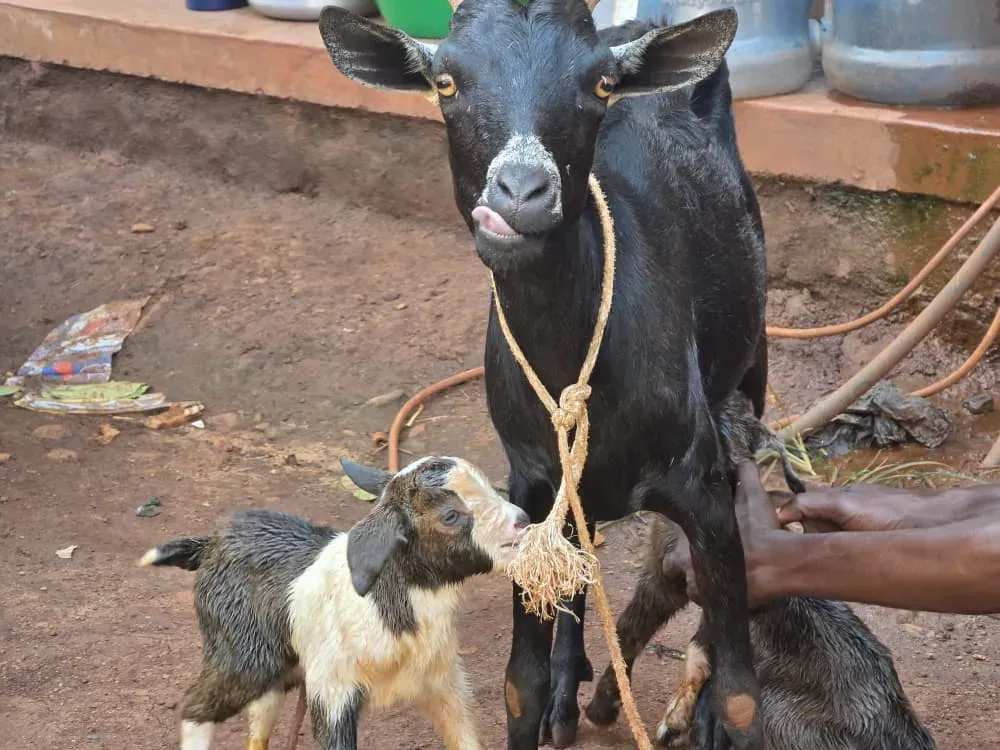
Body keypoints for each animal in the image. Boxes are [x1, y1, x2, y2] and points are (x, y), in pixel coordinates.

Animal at [138, 456, 529, 750]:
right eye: (450, 515)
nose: (522, 520)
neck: (384, 606)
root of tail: (210, 544)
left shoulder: (442, 683)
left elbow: (465, 738)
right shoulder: (332, 689)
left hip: (279, 664)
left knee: (258, 721)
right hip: (242, 656)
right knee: (195, 708)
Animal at [320, 3, 771, 748]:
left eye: (601, 86)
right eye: (445, 82)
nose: (521, 193)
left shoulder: (701, 483)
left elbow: (739, 690)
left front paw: (710, 714)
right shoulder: (530, 484)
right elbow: (518, 683)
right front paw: (549, 688)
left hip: (750, 364)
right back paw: (568, 687)